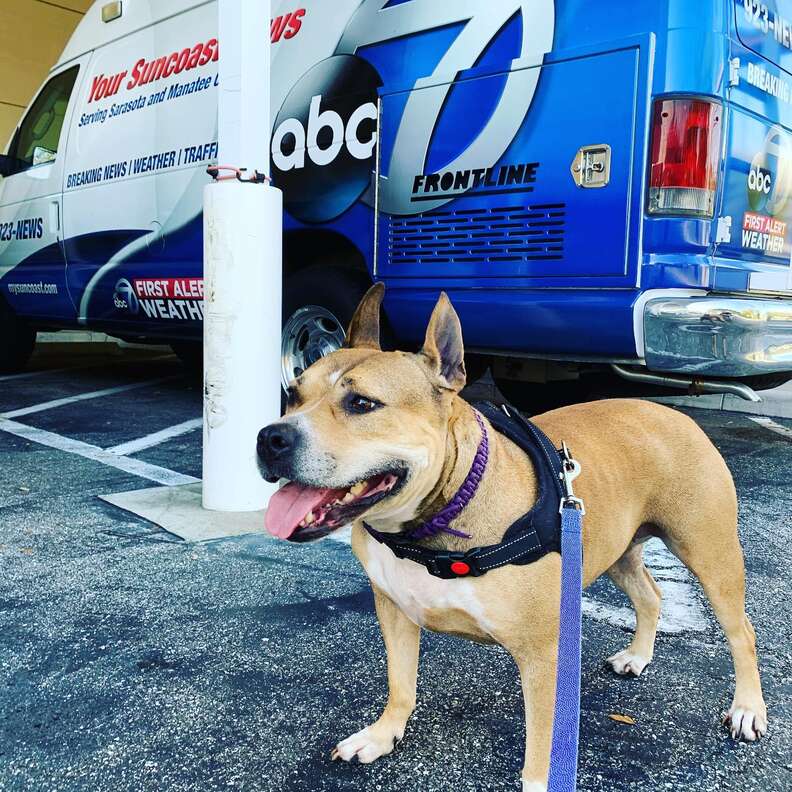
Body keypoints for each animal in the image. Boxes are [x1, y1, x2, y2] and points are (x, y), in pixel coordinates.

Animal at [258, 284, 768, 784]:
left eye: (362, 404)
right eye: (293, 394)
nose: (270, 437)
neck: (438, 517)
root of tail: (673, 413)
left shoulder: (544, 658)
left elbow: (541, 754)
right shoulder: (394, 611)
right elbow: (401, 684)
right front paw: (381, 736)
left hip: (710, 554)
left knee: (741, 631)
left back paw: (747, 709)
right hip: (613, 547)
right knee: (650, 595)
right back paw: (637, 656)